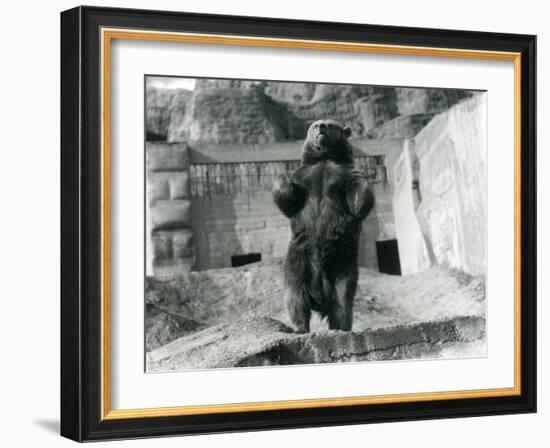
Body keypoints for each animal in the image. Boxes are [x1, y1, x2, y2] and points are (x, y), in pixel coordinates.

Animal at [272, 119, 376, 332]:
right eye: (314, 125)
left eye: (329, 124)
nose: (320, 127)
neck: (324, 159)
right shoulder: (304, 177)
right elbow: (290, 202)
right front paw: (280, 177)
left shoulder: (343, 174)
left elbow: (357, 195)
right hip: (298, 256)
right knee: (295, 294)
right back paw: (300, 327)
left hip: (342, 260)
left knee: (342, 298)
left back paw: (340, 327)